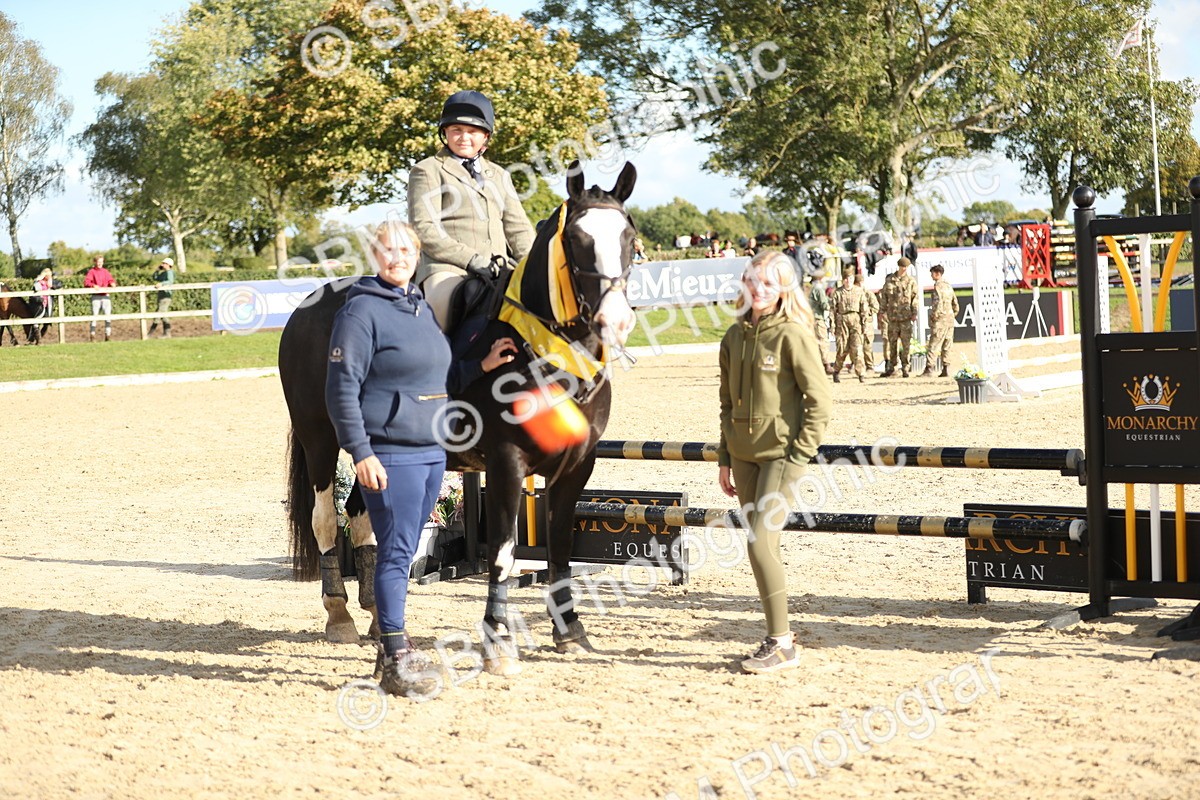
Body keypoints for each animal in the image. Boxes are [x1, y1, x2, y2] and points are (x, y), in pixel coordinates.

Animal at [278, 162, 638, 675]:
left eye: (629, 237)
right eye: (576, 240)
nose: (616, 320)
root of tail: (309, 306)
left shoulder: (577, 465)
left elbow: (560, 544)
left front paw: (570, 632)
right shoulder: (508, 464)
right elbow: (504, 554)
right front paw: (498, 644)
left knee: (362, 518)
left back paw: (376, 617)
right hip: (321, 441)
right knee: (326, 519)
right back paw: (340, 615)